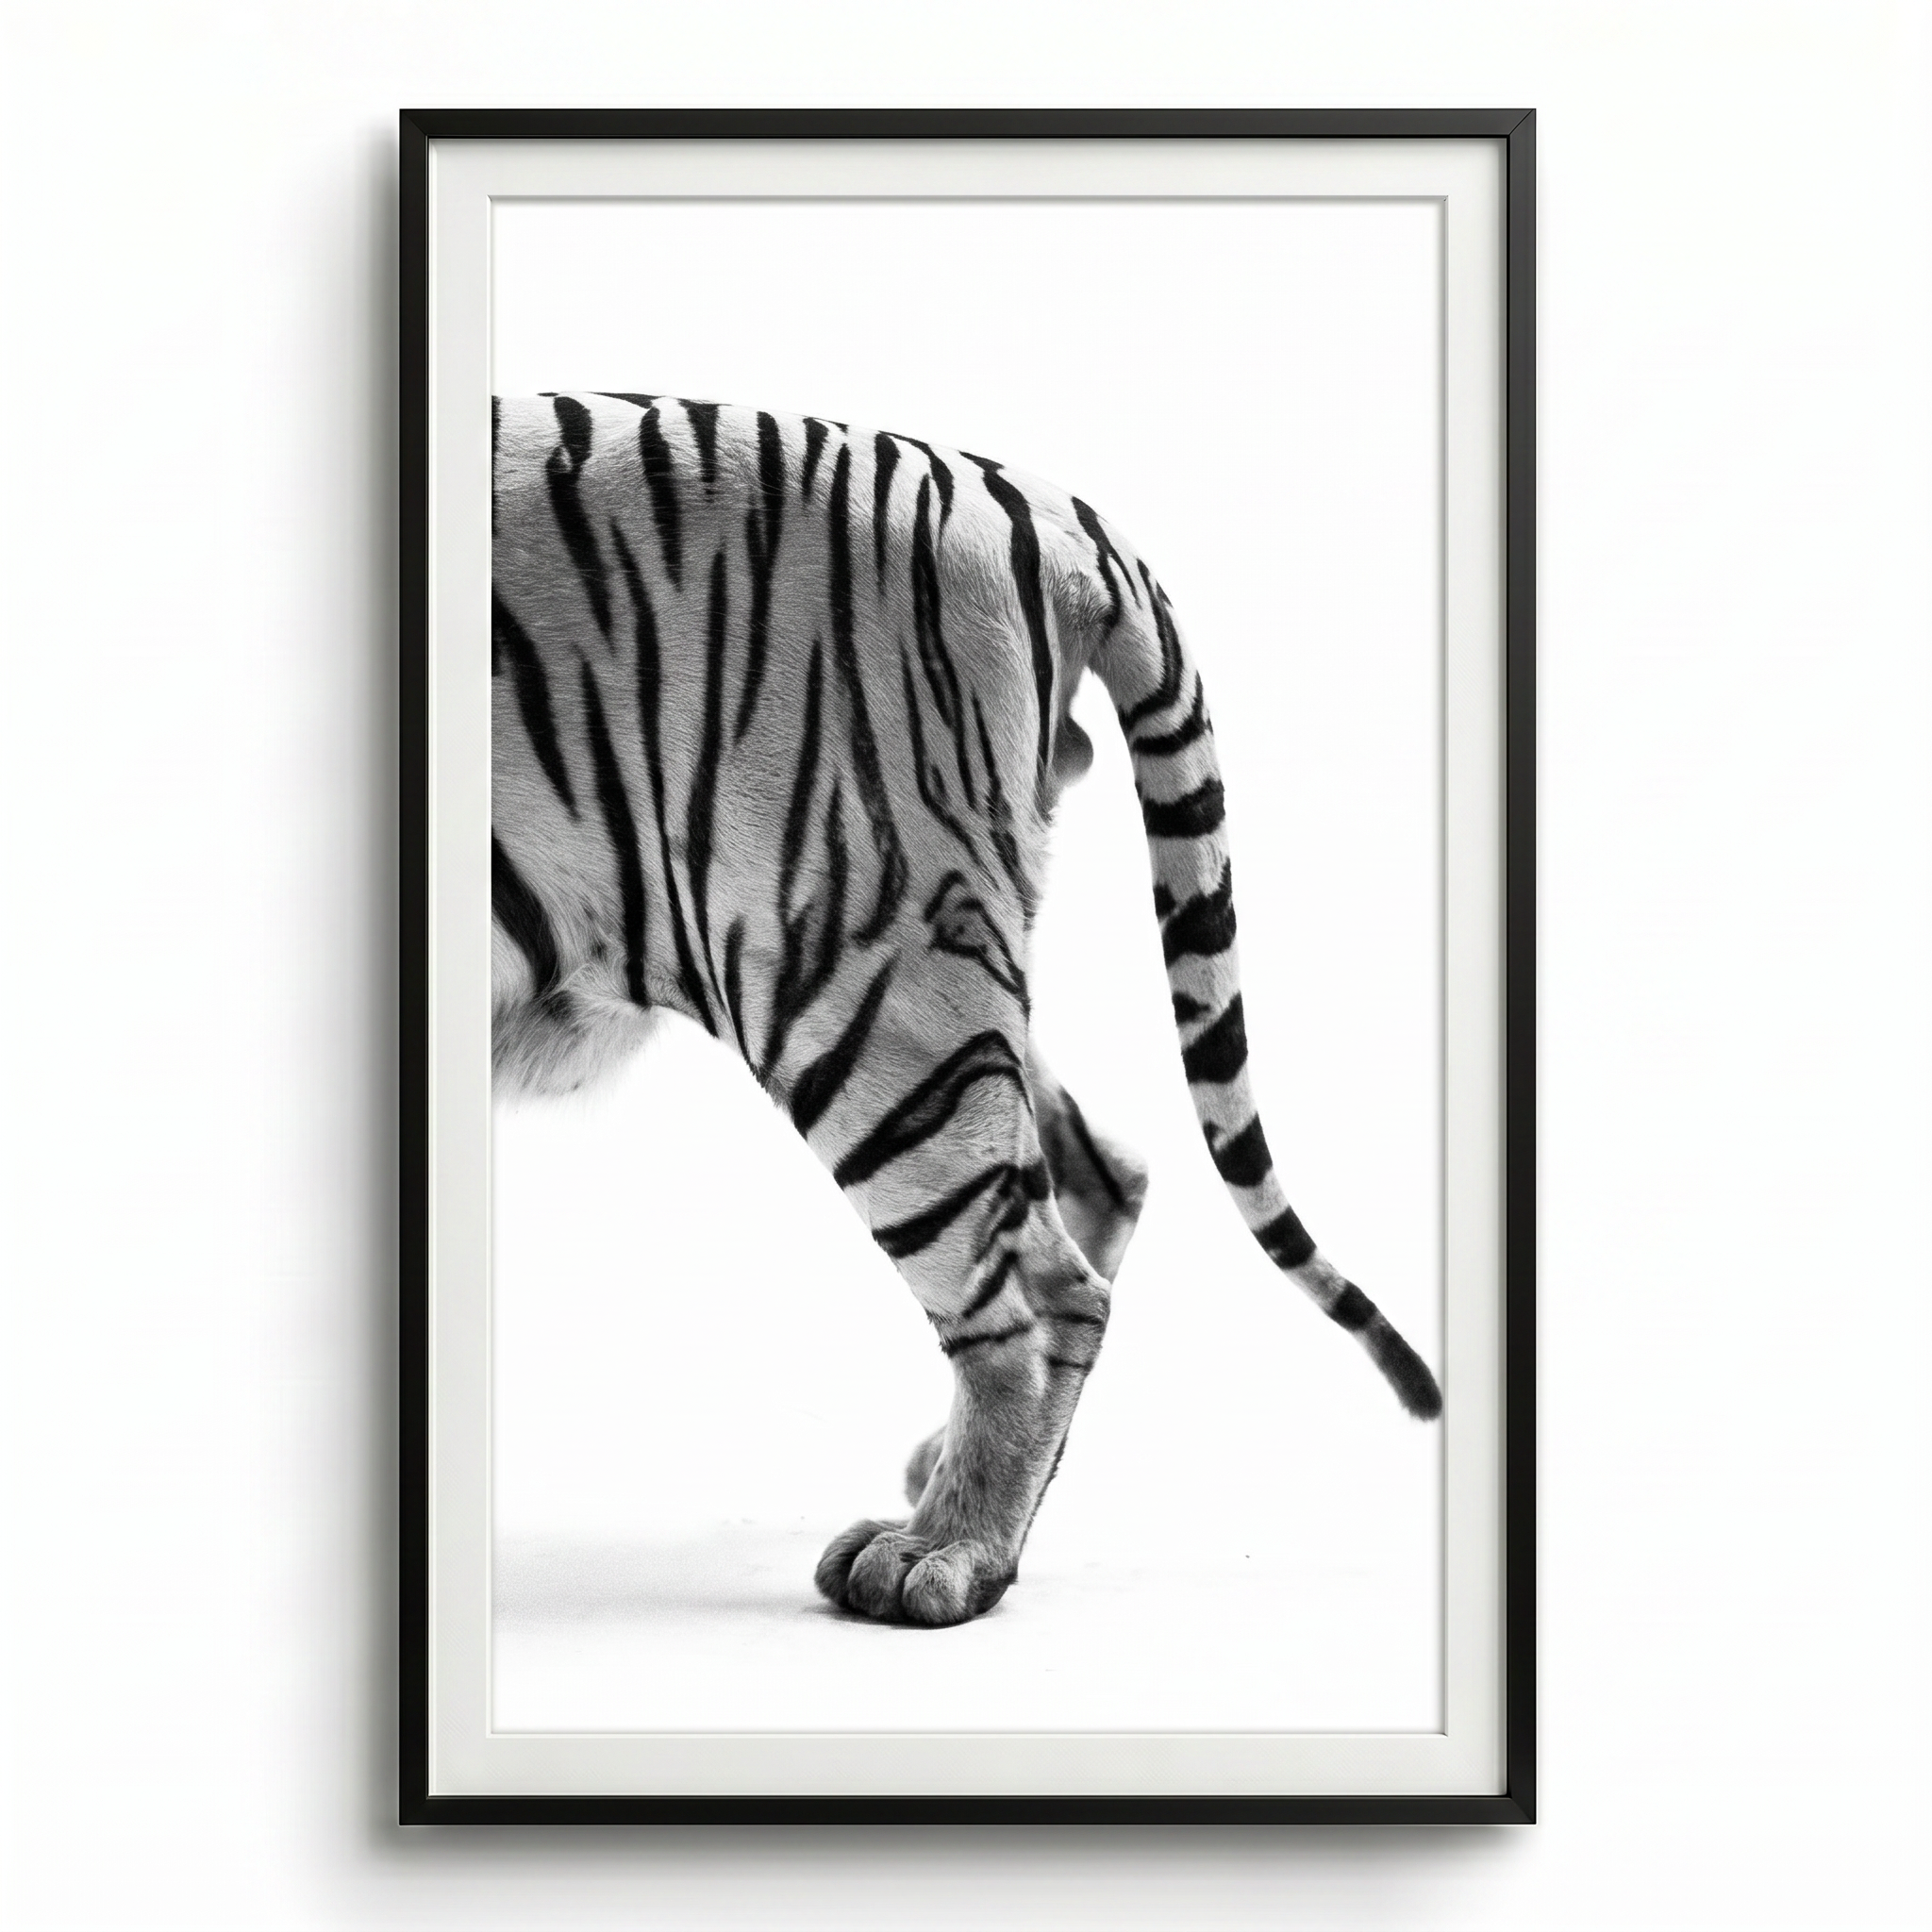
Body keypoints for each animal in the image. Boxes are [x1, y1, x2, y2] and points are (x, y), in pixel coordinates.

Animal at [491, 391, 1442, 1629]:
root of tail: (1032, 498)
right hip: (946, 947)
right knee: (1097, 1171)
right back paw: (939, 1478)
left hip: (852, 972)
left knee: (1039, 1290)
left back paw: (944, 1551)